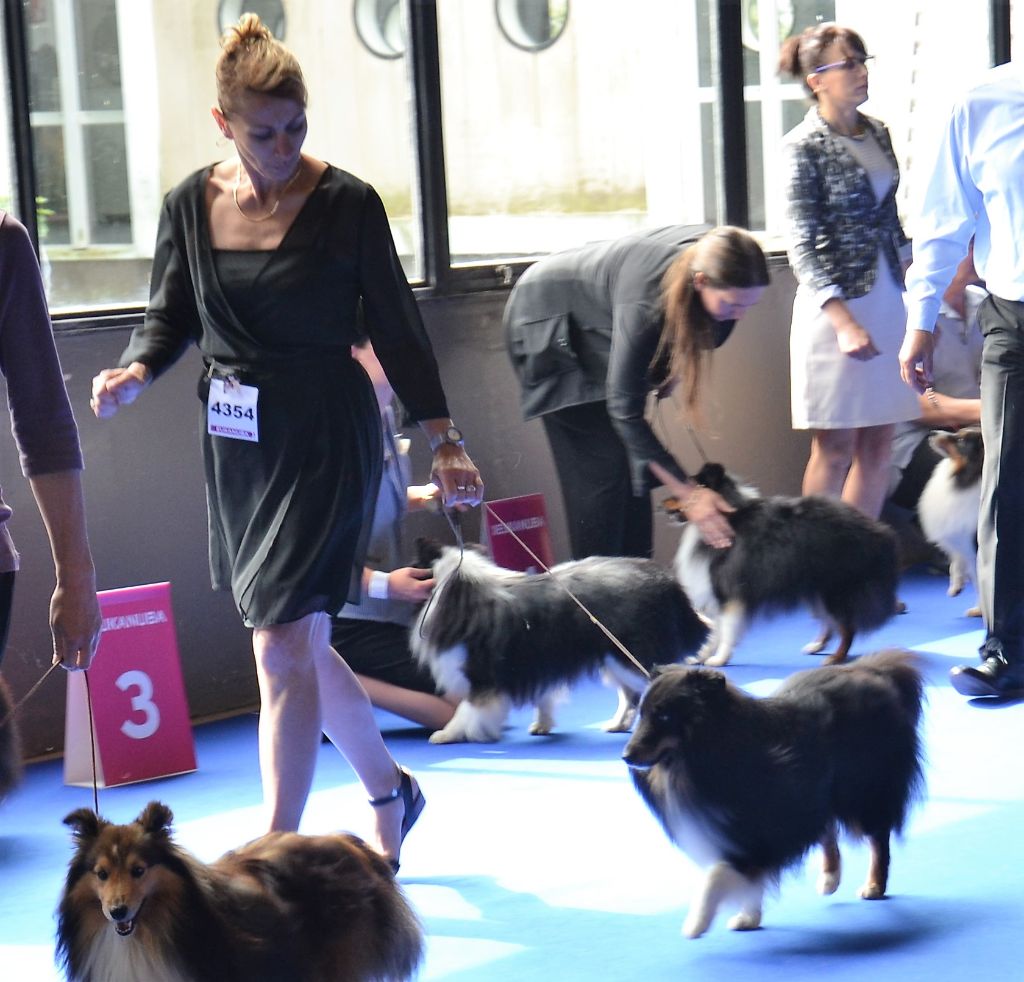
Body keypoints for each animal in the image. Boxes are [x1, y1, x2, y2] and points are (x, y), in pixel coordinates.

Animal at [405, 540, 704, 741]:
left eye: (415, 563)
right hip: (615, 659)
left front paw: (447, 735)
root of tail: (666, 581)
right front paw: (542, 726)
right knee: (631, 695)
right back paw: (617, 725)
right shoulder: (537, 661)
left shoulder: (480, 676)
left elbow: (466, 710)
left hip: (627, 657)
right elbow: (543, 697)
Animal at [618, 647, 925, 942]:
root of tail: (871, 671)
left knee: (878, 838)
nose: (625, 756)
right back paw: (830, 878)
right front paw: (748, 918)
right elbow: (747, 880)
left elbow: (719, 873)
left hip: (862, 793)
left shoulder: (758, 833)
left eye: (664, 716)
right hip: (816, 793)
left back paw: (874, 885)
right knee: (828, 831)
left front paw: (696, 923)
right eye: (641, 713)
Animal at [663, 462, 897, 663]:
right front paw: (700, 656)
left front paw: (719, 659)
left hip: (833, 589)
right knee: (832, 624)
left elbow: (725, 630)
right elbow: (715, 631)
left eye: (688, 485)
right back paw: (817, 646)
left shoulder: (727, 592)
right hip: (816, 590)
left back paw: (836, 658)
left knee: (847, 627)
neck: (725, 515)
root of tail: (879, 531)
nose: (662, 502)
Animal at [921, 421, 983, 614]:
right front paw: (956, 586)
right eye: (958, 432)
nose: (932, 432)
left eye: (961, 440)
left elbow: (980, 582)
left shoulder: (974, 547)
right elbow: (955, 564)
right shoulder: (958, 540)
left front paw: (980, 611)